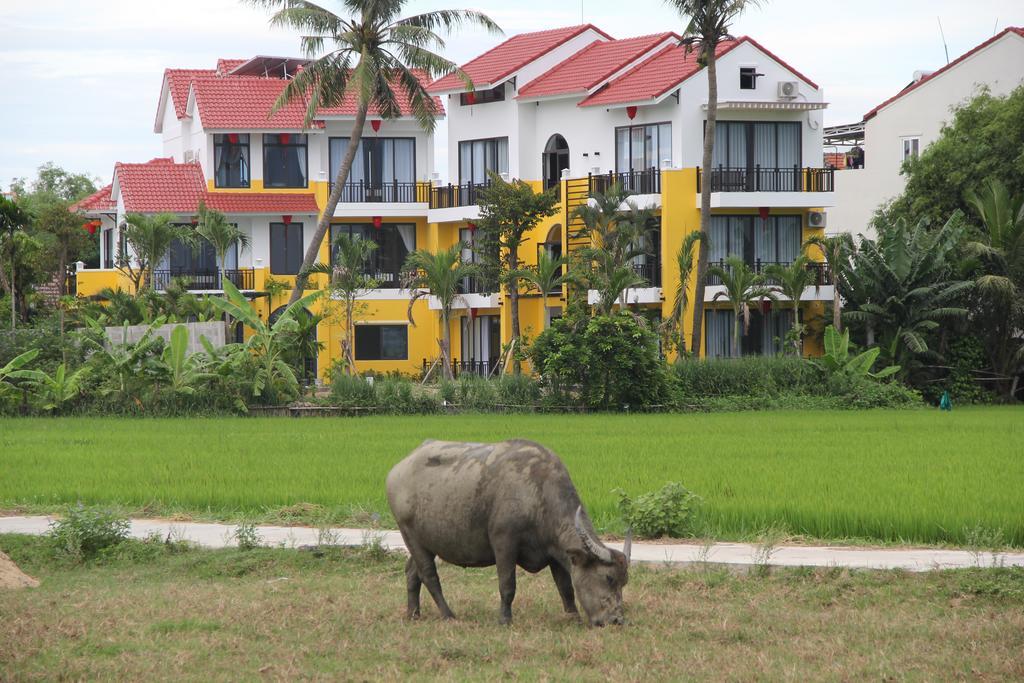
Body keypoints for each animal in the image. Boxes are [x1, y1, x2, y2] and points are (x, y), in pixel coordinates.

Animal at [385, 440, 626, 626]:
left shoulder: (556, 552)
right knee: (429, 575)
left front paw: (573, 617)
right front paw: (505, 619)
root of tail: (397, 470)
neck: (538, 495)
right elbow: (507, 584)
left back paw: (413, 613)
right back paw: (448, 615)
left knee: (412, 571)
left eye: (624, 582)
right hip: (409, 534)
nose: (617, 620)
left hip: (427, 541)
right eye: (608, 577)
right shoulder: (504, 543)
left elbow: (565, 587)